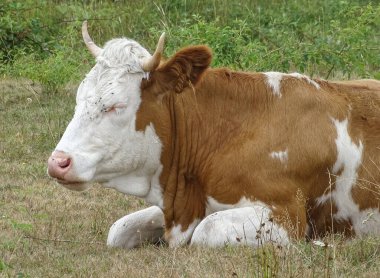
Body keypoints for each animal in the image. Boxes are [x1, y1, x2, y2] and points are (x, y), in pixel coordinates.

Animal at [47, 21, 380, 248]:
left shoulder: (287, 215)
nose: (58, 162)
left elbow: (205, 232)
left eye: (117, 105)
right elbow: (119, 229)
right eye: (78, 98)